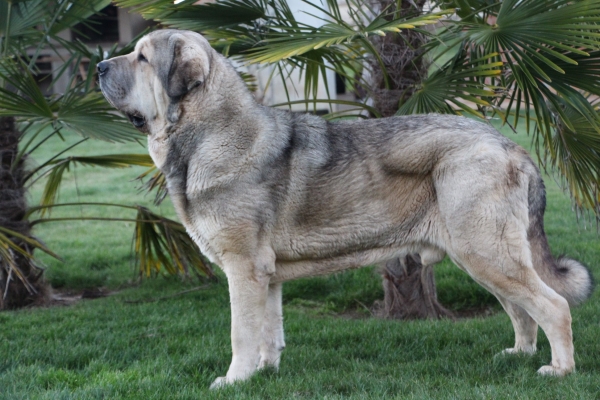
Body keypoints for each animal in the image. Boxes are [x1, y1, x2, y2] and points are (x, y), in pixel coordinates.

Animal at [97, 28, 592, 388]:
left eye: (142, 58)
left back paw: (559, 370)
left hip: (485, 251)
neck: (207, 134)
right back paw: (518, 355)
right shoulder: (266, 275)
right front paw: (264, 373)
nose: (100, 66)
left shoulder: (243, 268)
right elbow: (269, 331)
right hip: (483, 255)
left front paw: (234, 380)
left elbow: (242, 332)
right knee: (521, 309)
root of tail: (510, 145)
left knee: (552, 307)